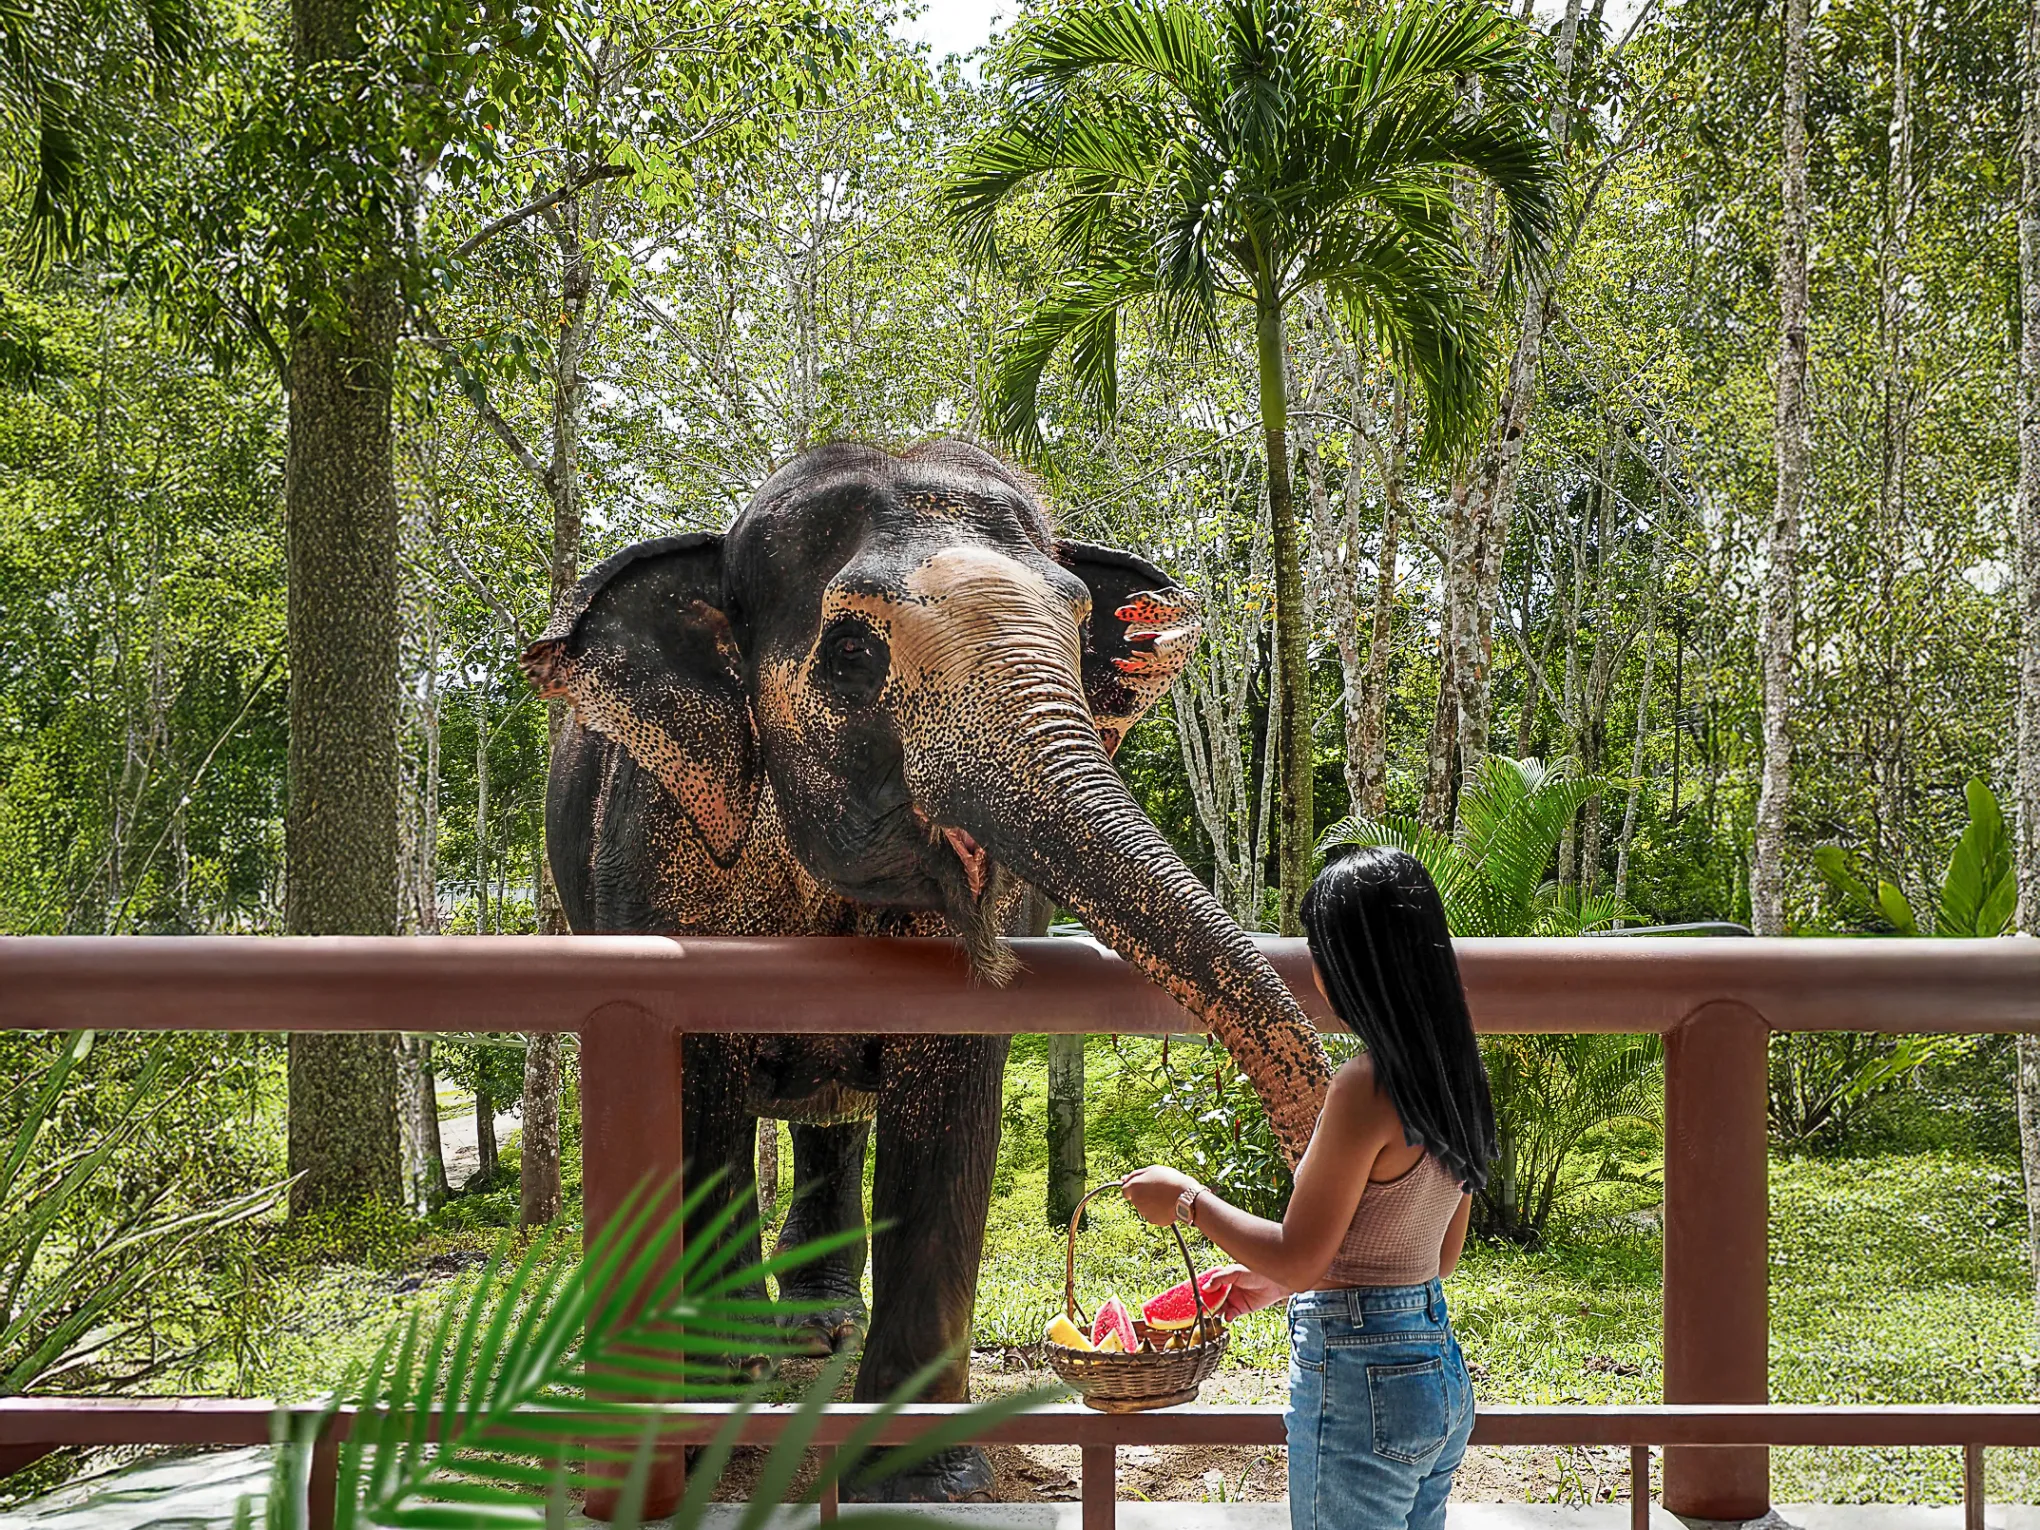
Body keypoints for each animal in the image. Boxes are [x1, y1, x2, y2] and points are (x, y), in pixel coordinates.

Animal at [522, 438, 1329, 1501]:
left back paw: (817, 1329)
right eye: (852, 653)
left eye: (1080, 625)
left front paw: (922, 1481)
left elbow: (950, 1102)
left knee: (834, 1120)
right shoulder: (654, 848)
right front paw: (708, 1420)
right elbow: (693, 1105)